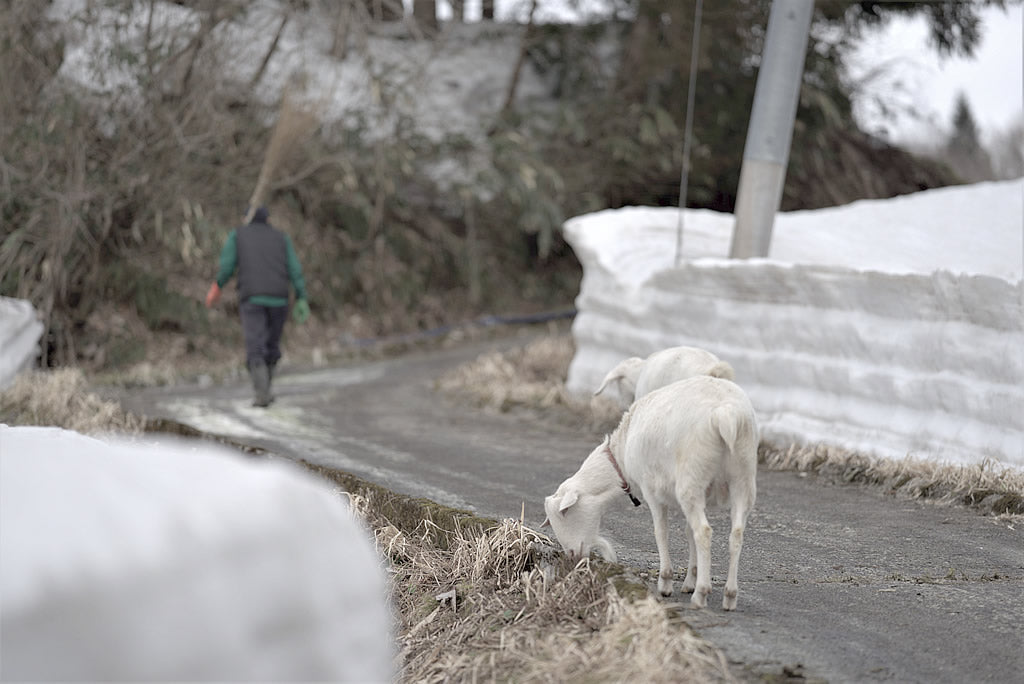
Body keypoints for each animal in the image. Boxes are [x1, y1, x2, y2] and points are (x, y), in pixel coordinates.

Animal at [548, 376, 757, 610]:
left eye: (565, 513)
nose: (572, 557)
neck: (621, 454)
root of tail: (725, 414)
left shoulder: (651, 490)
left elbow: (661, 532)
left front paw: (666, 582)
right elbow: (688, 532)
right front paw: (689, 581)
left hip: (692, 478)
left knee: (704, 532)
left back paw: (701, 594)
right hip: (742, 477)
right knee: (735, 534)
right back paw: (730, 595)